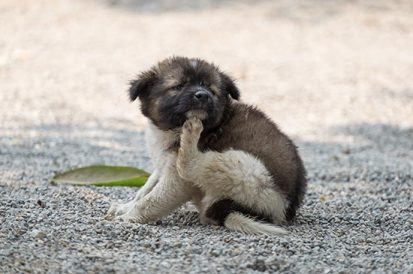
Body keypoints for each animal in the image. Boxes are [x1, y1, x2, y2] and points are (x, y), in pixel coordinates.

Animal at [105, 56, 306, 234]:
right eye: (179, 86)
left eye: (211, 89)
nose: (203, 95)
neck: (171, 130)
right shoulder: (163, 163)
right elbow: (146, 189)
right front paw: (125, 207)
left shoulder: (177, 180)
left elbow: (151, 200)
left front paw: (128, 217)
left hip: (247, 170)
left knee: (192, 167)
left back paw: (191, 136)